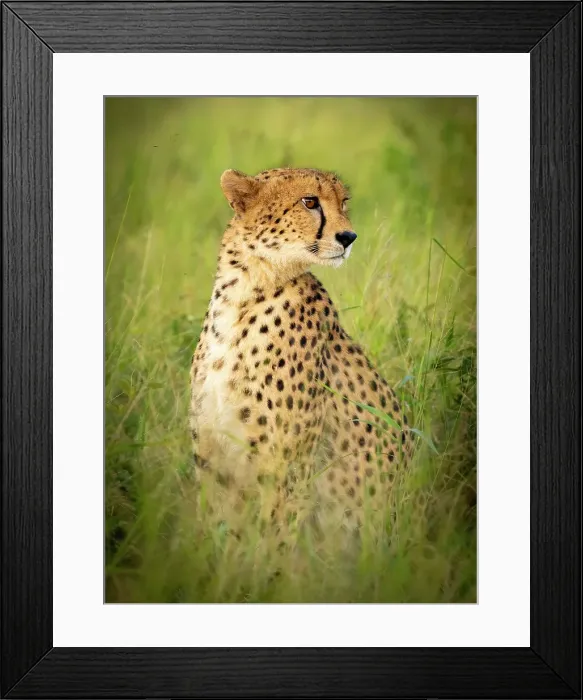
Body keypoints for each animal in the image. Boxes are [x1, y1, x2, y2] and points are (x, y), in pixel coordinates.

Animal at [190, 167, 414, 534]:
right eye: (309, 202)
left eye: (343, 202)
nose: (348, 236)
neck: (243, 295)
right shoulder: (213, 462)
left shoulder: (287, 470)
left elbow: (274, 538)